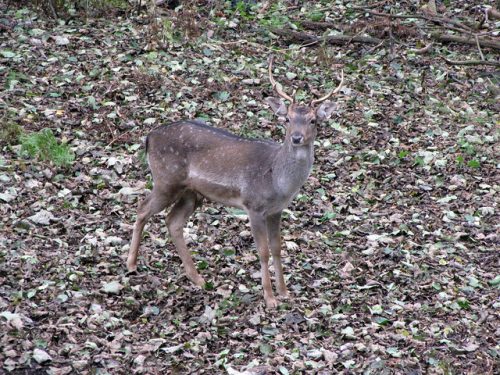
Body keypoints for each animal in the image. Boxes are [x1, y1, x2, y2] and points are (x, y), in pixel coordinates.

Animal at [126, 58, 344, 308]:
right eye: (287, 119)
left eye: (313, 120)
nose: (296, 137)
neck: (278, 182)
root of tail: (148, 138)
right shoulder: (254, 205)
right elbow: (263, 251)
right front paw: (270, 298)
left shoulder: (276, 210)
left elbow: (277, 248)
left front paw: (284, 292)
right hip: (166, 180)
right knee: (142, 208)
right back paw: (131, 264)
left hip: (191, 193)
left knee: (173, 221)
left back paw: (198, 279)